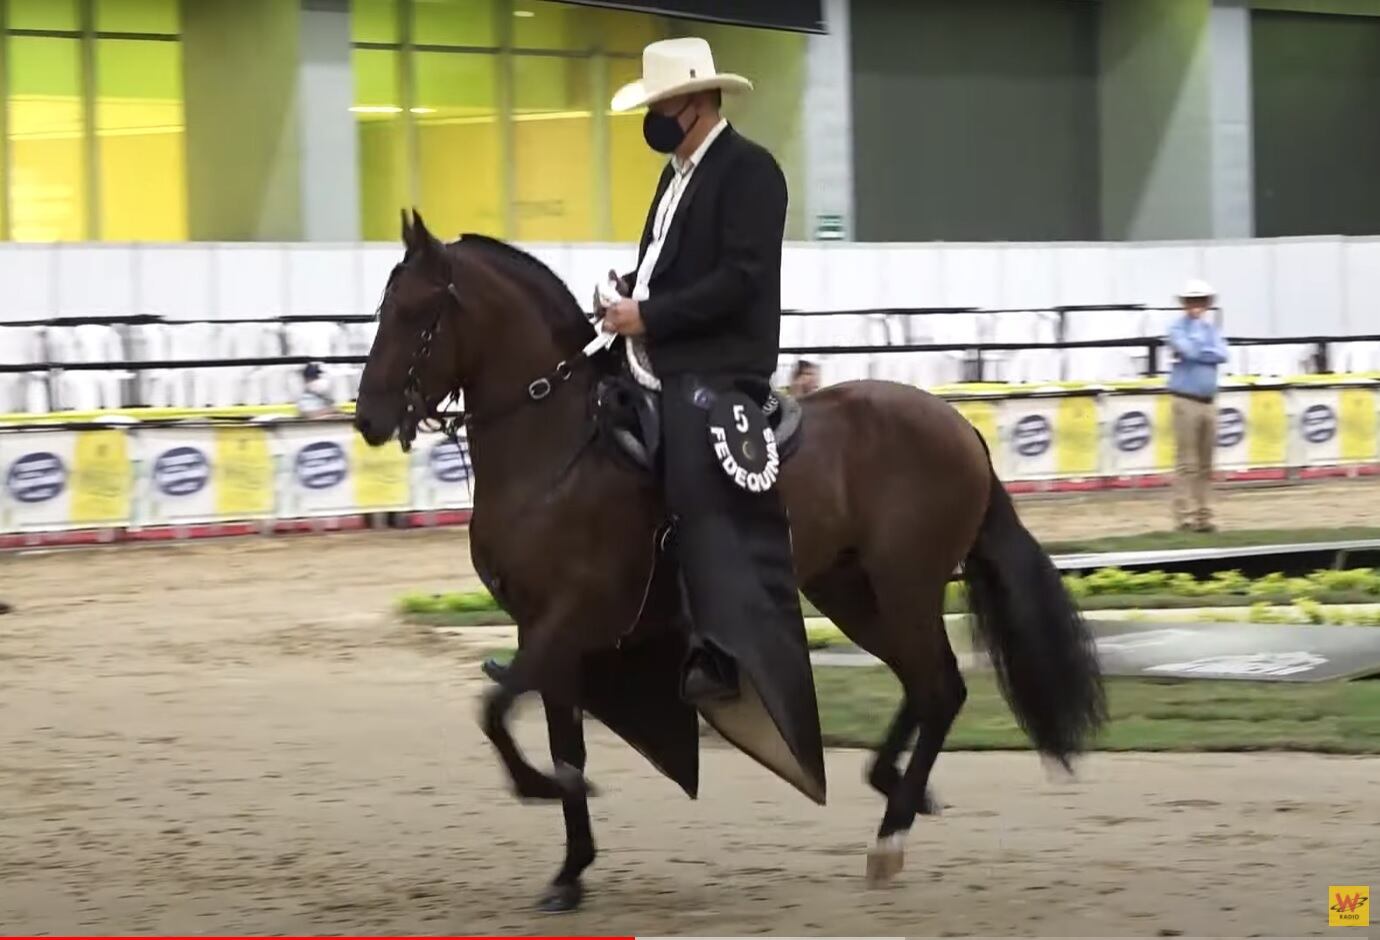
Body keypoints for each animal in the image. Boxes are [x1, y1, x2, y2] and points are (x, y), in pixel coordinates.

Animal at [354, 210, 1106, 913]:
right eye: (384, 305)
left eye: (418, 312)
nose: (368, 418)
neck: (558, 447)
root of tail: (960, 427)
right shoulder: (541, 628)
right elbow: (554, 734)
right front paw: (569, 871)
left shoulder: (571, 617)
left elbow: (496, 710)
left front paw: (540, 789)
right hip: (849, 590)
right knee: (925, 686)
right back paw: (893, 790)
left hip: (906, 585)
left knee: (942, 686)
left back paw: (890, 834)